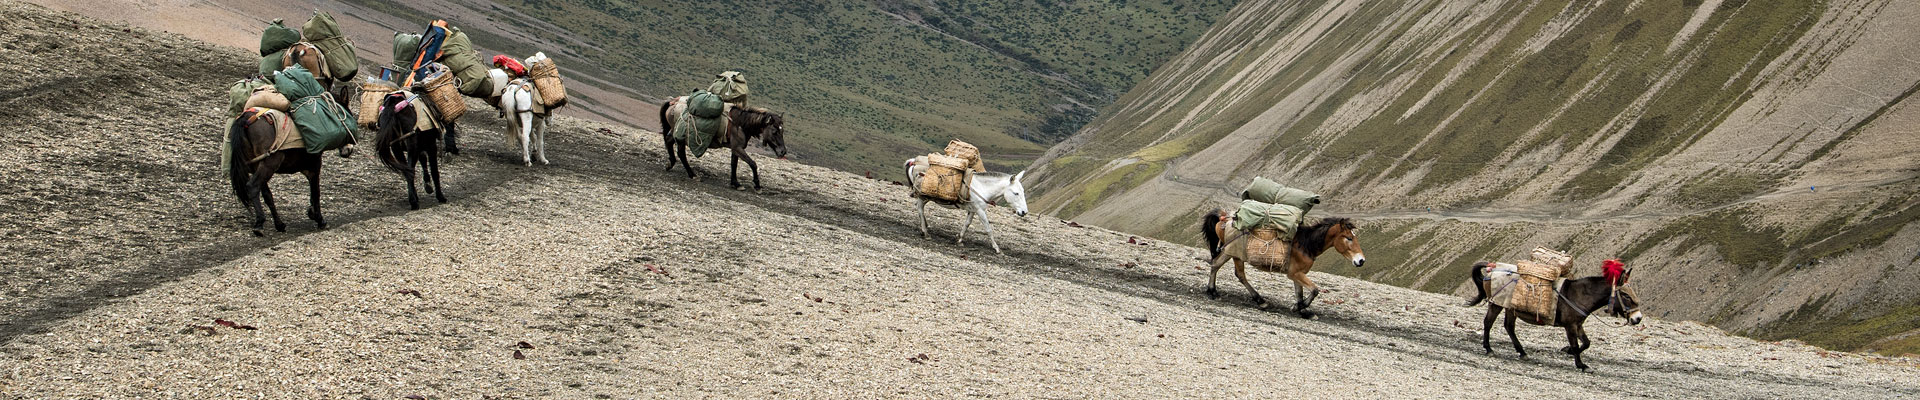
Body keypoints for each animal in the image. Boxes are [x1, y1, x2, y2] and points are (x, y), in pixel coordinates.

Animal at [657, 98, 789, 189]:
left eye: (782, 130)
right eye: (774, 131)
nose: (783, 151)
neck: (741, 124)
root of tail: (672, 104)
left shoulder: (735, 148)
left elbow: (734, 164)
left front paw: (736, 184)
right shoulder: (738, 148)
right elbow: (753, 163)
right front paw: (757, 186)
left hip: (675, 133)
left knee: (669, 142)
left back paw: (670, 164)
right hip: (681, 137)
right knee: (681, 153)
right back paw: (692, 174)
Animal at [1200, 211, 1366, 317]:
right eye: (1349, 238)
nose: (1361, 260)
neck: (1305, 245)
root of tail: (1224, 219)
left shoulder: (1297, 274)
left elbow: (1300, 293)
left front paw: (1303, 311)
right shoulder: (1295, 273)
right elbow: (1314, 290)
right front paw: (1299, 307)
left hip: (1232, 253)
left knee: (1222, 267)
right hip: (1233, 253)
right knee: (1231, 271)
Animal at [1465, 261, 1643, 370]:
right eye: (1625, 295)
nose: (1638, 318)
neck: (1580, 295)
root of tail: (1493, 267)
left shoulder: (1578, 324)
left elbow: (1586, 343)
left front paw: (1567, 350)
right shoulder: (1570, 326)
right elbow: (1577, 345)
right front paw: (1581, 364)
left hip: (1510, 308)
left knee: (1509, 327)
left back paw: (1522, 352)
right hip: (1496, 303)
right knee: (1488, 323)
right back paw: (1489, 349)